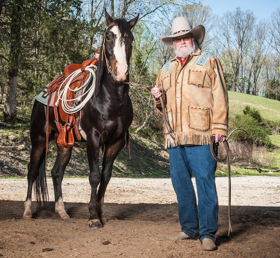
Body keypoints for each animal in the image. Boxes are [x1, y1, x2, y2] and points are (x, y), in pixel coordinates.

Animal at [23, 10, 139, 228]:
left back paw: (61, 211)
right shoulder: (94, 138)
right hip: (39, 140)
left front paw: (100, 213)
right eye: (108, 36)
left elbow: (106, 177)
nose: (121, 73)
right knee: (32, 171)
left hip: (64, 144)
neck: (110, 99)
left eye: (131, 39)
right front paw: (93, 217)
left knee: (56, 173)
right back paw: (26, 211)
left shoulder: (116, 142)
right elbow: (94, 176)